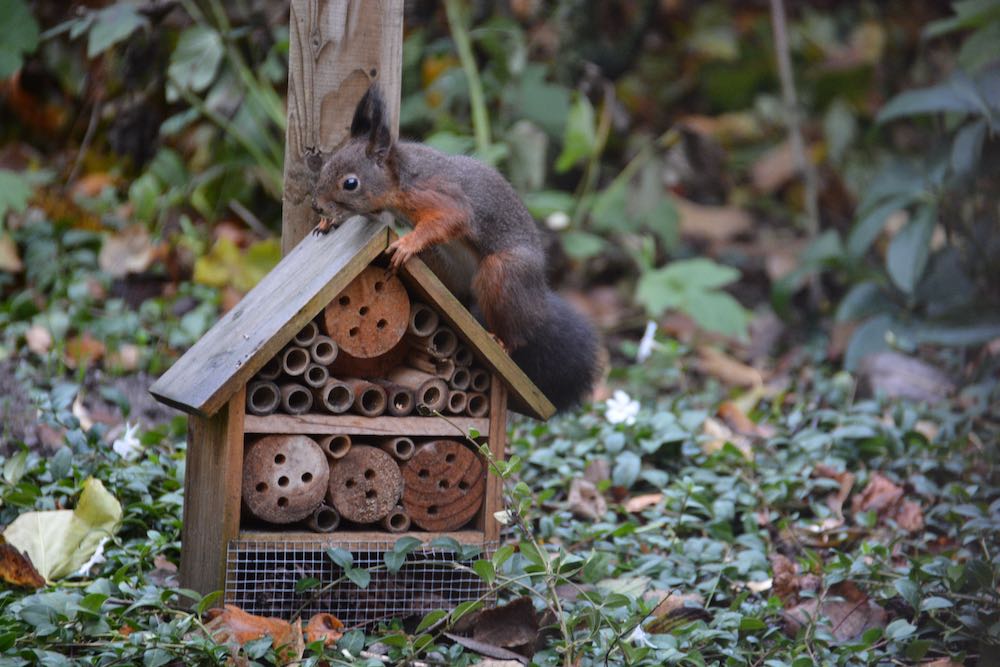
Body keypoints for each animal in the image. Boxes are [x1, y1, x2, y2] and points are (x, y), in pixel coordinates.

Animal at [312, 83, 596, 412]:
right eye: (326, 166)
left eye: (351, 183)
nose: (316, 205)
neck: (399, 176)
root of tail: (538, 302)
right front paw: (327, 223)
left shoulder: (436, 193)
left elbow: (452, 218)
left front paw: (407, 243)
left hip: (504, 272)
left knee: (518, 331)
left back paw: (501, 342)